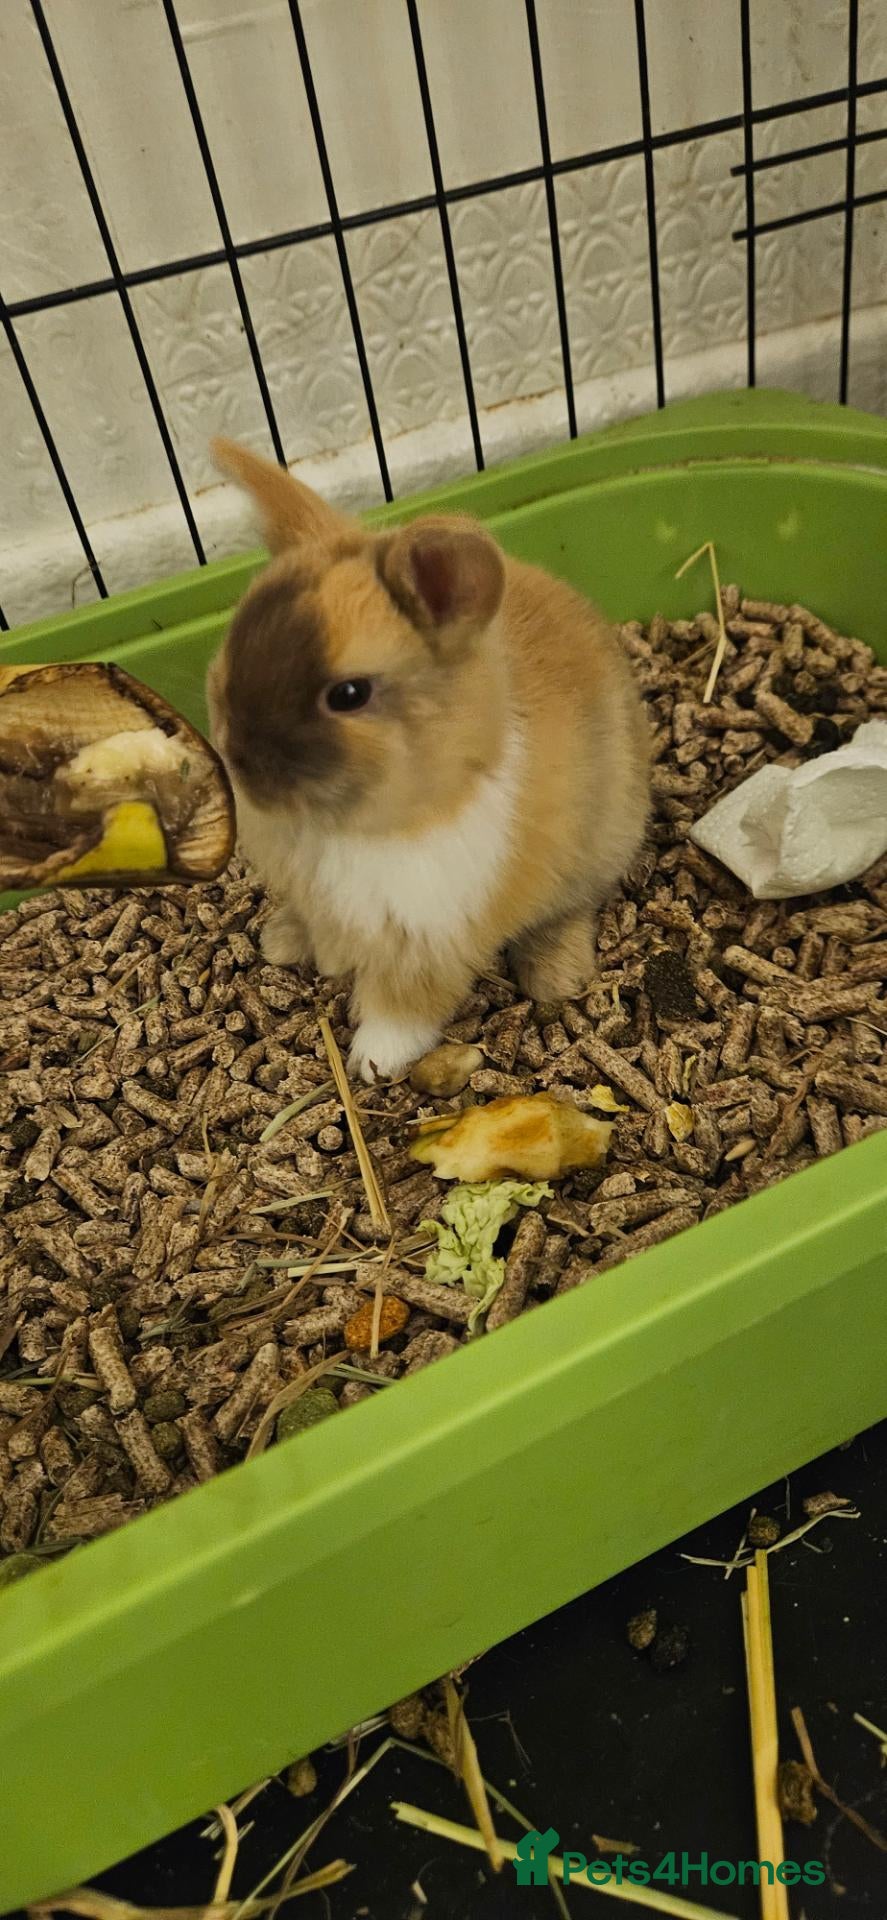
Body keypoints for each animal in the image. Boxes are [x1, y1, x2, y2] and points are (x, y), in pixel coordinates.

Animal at [206, 438, 651, 1083]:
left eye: (349, 695)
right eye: (234, 646)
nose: (240, 764)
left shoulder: (429, 940)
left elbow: (405, 1008)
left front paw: (371, 1062)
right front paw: (299, 949)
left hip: (595, 853)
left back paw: (556, 977)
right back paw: (279, 939)